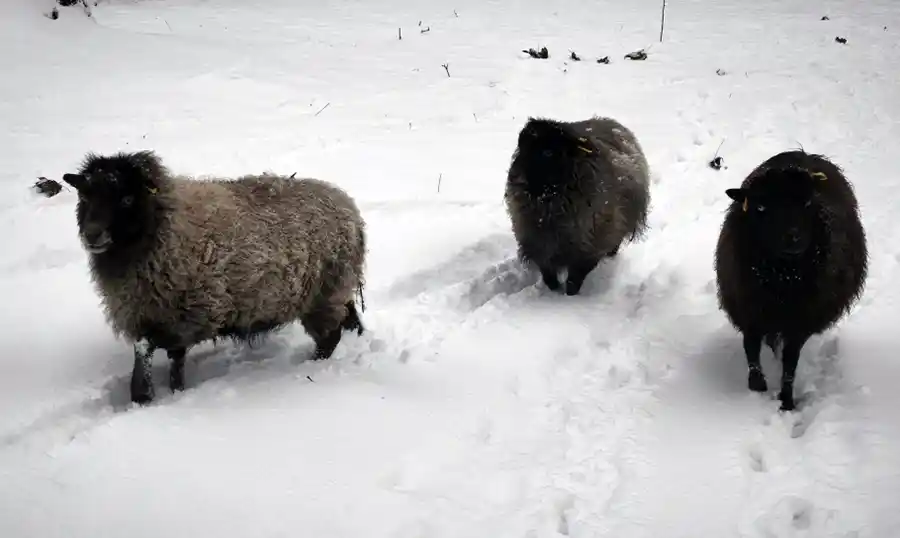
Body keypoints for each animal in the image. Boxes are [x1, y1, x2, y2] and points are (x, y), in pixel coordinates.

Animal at [61, 150, 367, 404]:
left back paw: (313, 365)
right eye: (85, 197)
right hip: (335, 288)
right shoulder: (151, 313)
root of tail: (349, 207)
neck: (161, 226)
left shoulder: (182, 314)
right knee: (351, 319)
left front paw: (146, 395)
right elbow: (164, 357)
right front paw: (167, 391)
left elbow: (152, 353)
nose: (92, 235)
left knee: (330, 337)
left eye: (126, 199)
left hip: (323, 294)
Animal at [504, 116, 651, 295]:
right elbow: (549, 277)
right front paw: (554, 292)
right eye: (521, 147)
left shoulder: (588, 249)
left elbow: (574, 281)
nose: (515, 177)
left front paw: (569, 297)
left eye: (548, 152)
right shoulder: (539, 246)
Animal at [714, 150, 867, 411]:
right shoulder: (748, 309)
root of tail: (805, 154)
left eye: (807, 203)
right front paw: (757, 387)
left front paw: (786, 401)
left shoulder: (801, 321)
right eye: (761, 207)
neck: (782, 278)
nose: (793, 238)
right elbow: (750, 347)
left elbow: (790, 362)